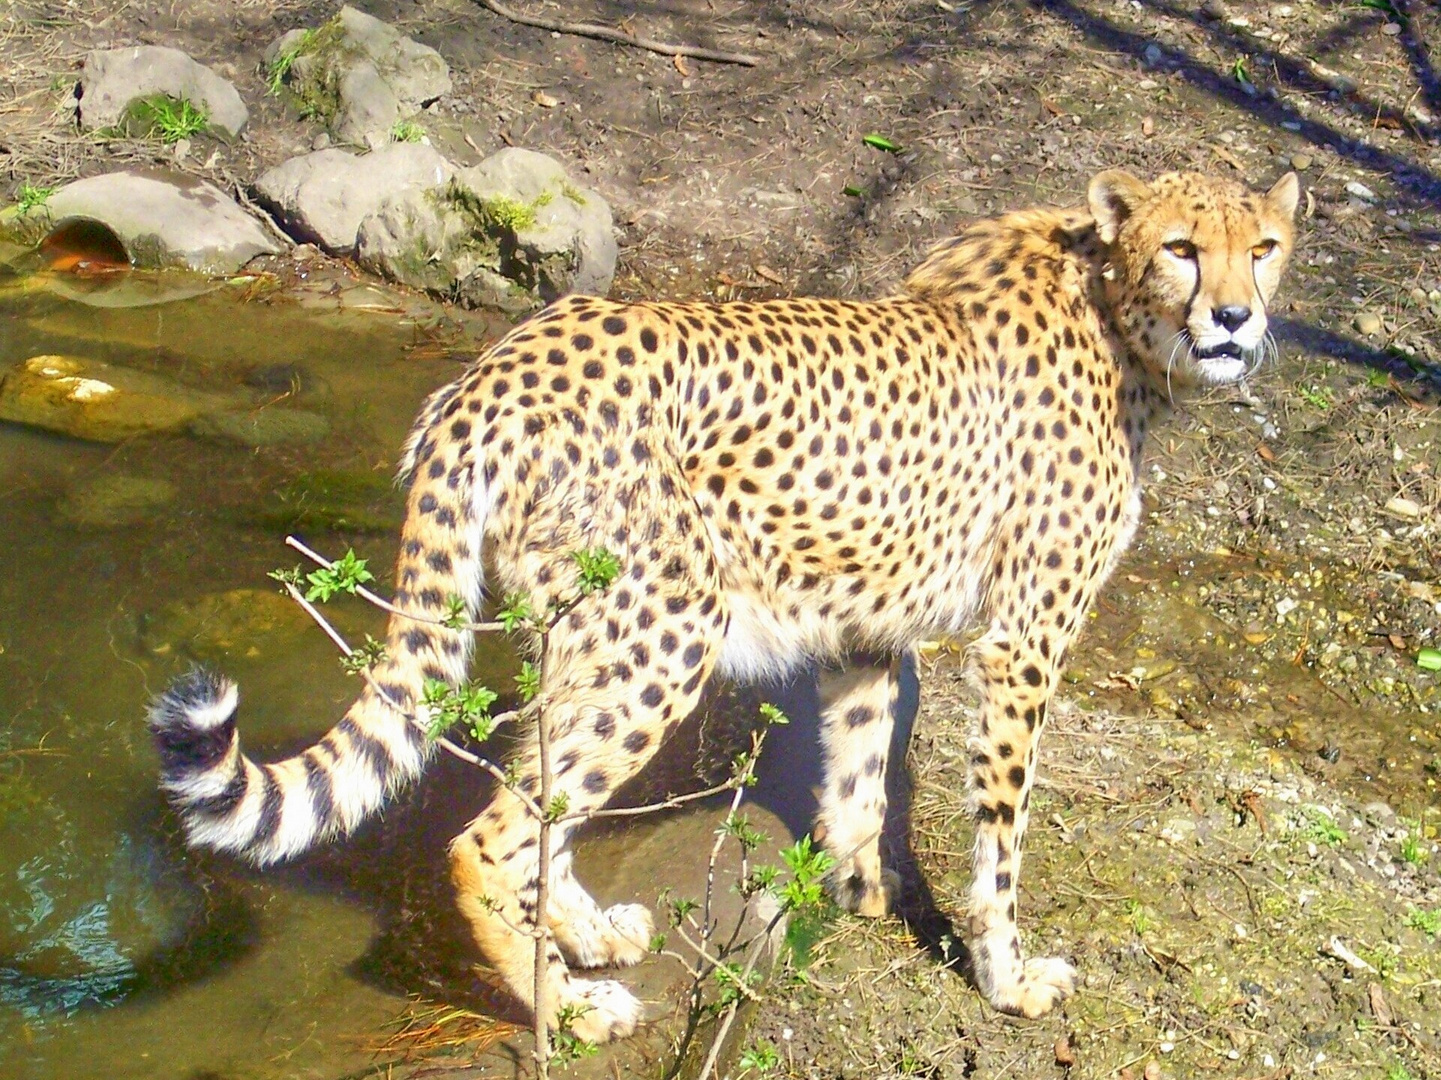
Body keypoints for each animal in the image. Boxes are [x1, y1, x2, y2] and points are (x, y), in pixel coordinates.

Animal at [152, 166, 1302, 1038]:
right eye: (1182, 247)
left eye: (1265, 246)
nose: (1235, 319)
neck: (1113, 313)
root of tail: (500, 362)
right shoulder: (1023, 640)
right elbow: (1000, 833)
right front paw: (1003, 975)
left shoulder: (864, 627)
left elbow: (858, 777)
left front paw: (867, 900)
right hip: (663, 634)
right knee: (490, 834)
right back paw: (566, 1011)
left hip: (583, 629)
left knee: (540, 801)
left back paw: (582, 933)